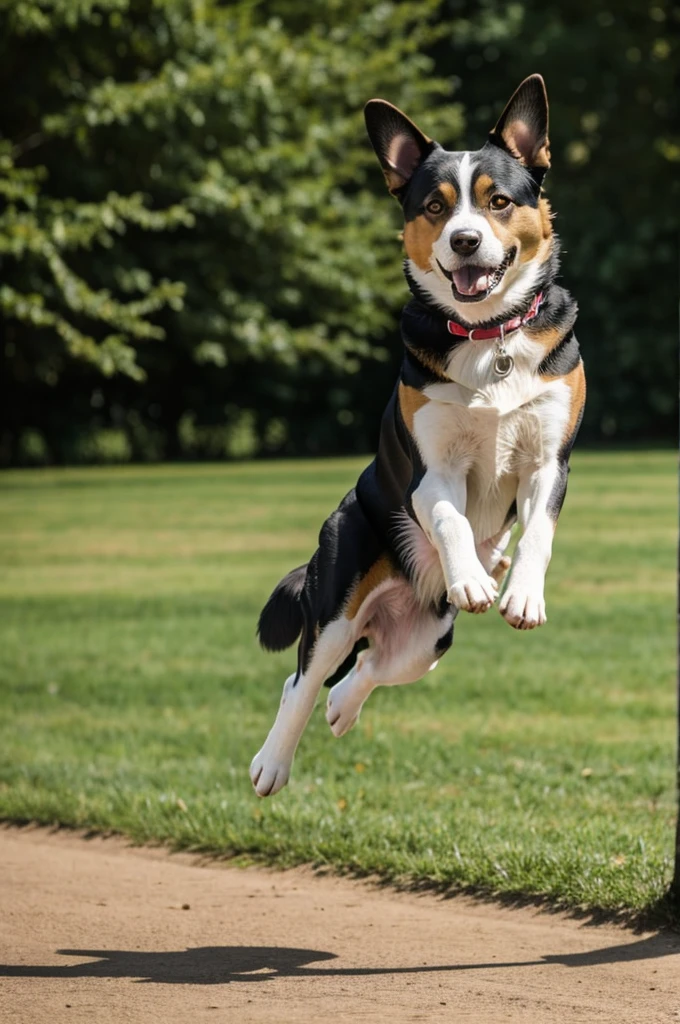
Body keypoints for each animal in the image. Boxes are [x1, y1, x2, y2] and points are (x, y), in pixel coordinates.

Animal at [249, 75, 585, 794]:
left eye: (498, 201)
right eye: (434, 205)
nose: (465, 241)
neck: (488, 340)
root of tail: (411, 589)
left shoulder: (551, 461)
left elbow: (538, 532)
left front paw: (521, 593)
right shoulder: (432, 472)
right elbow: (452, 519)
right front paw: (474, 580)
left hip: (429, 638)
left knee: (368, 669)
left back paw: (344, 708)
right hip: (340, 593)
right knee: (306, 676)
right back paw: (271, 762)